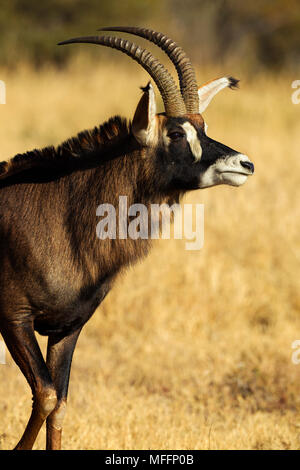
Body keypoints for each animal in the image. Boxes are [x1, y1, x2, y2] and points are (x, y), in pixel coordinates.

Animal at [0, 26, 253, 452]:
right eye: (175, 132)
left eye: (203, 126)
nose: (244, 164)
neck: (64, 212)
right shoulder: (14, 318)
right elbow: (47, 395)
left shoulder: (68, 328)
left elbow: (59, 404)